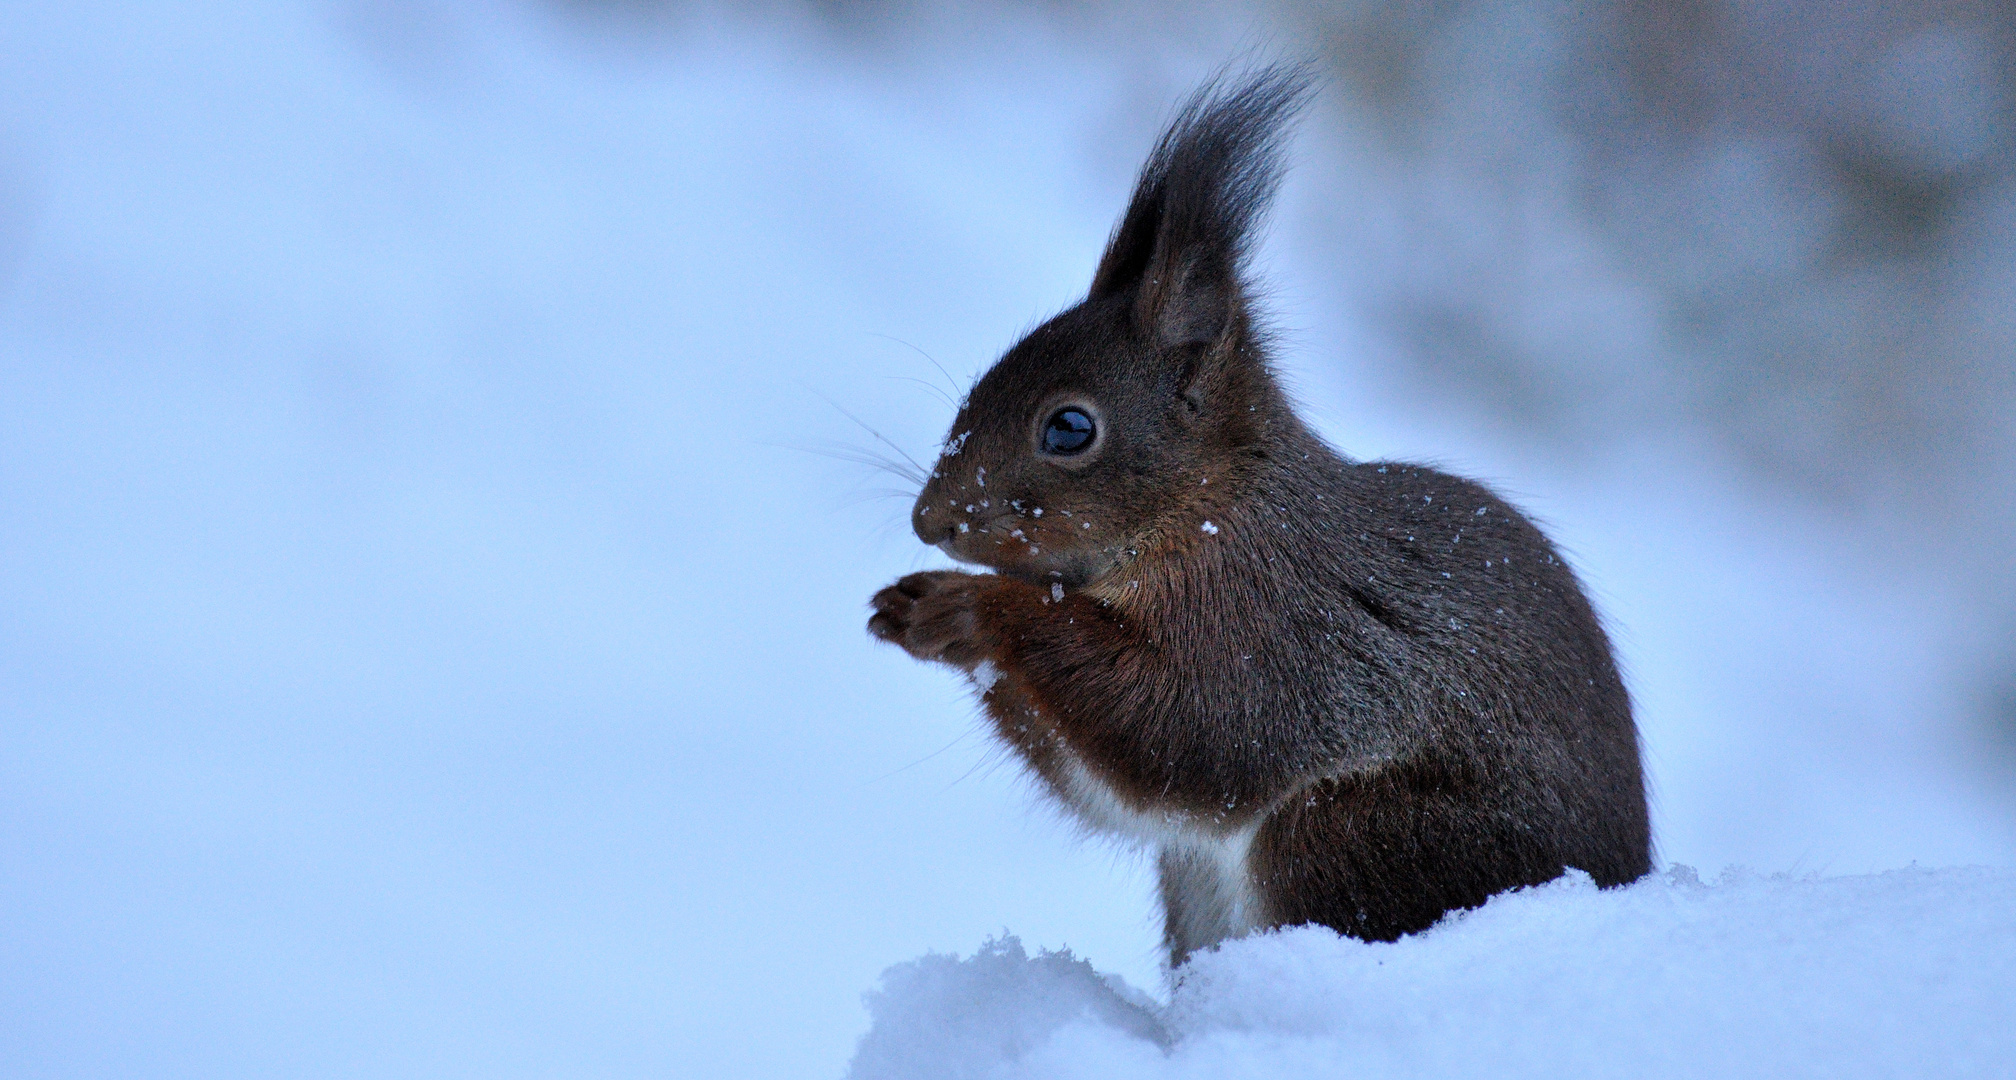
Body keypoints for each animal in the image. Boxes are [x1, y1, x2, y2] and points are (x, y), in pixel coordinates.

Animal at [870, 69, 1653, 971]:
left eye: (1068, 428)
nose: (930, 522)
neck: (1210, 508)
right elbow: (1122, 787)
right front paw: (920, 615)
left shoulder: (1268, 621)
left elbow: (1187, 729)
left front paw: (974, 607)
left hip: (1352, 839)